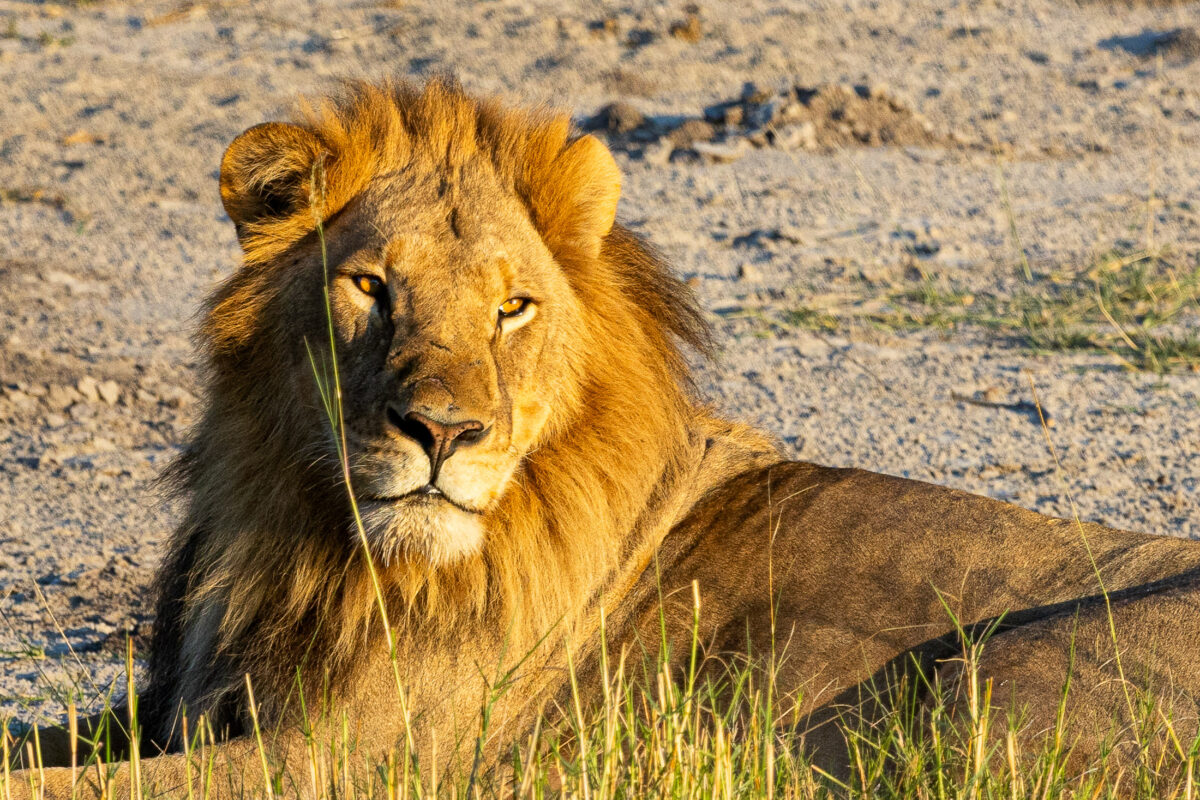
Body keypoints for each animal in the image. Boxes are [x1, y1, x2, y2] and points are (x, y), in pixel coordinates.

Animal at [12, 78, 1200, 797]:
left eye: (511, 307)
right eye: (371, 286)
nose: (441, 430)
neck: (303, 526)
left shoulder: (354, 757)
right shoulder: (177, 707)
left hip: (984, 681)